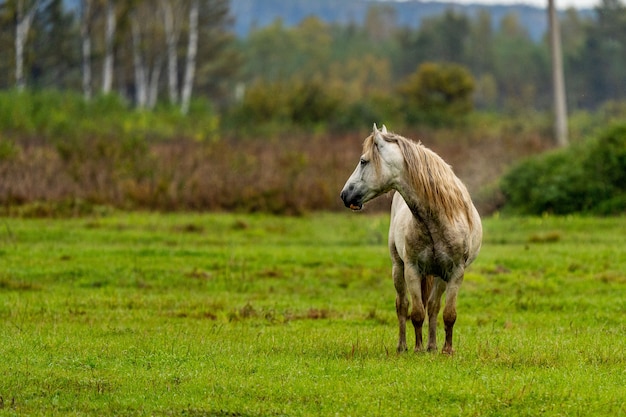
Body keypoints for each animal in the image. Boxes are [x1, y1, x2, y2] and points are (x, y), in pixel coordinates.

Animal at [338, 122, 480, 352]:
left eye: (363, 161)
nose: (344, 194)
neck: (437, 221)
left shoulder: (455, 272)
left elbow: (448, 314)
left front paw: (446, 350)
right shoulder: (412, 270)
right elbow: (416, 313)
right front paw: (417, 349)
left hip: (440, 276)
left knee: (433, 306)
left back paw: (433, 347)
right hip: (398, 267)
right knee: (402, 306)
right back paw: (403, 347)